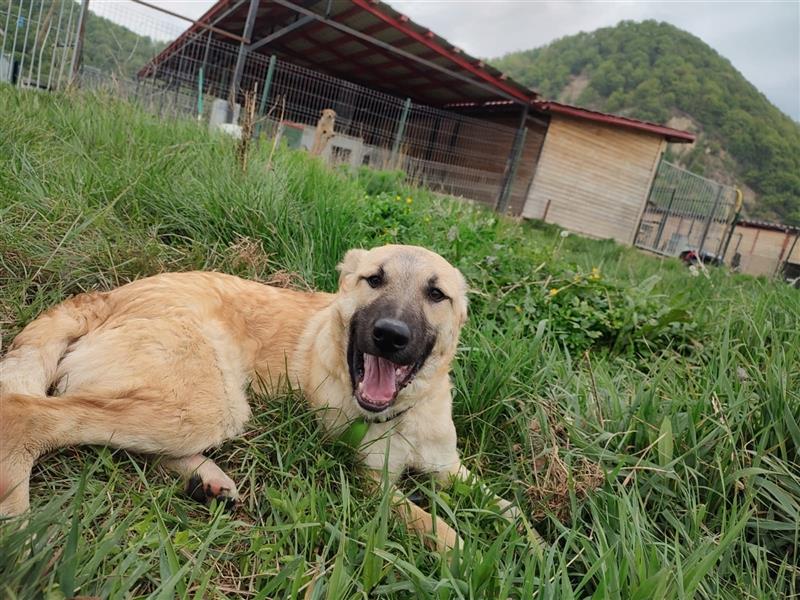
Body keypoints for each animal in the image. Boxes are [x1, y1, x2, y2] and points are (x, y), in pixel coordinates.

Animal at [0, 245, 520, 552]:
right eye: (374, 280)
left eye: (437, 294)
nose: (390, 335)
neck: (401, 415)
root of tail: (107, 296)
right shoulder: (372, 482)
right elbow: (434, 526)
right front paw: (472, 556)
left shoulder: (450, 469)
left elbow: (509, 512)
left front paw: (531, 545)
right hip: (210, 402)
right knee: (30, 414)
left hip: (199, 406)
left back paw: (205, 478)